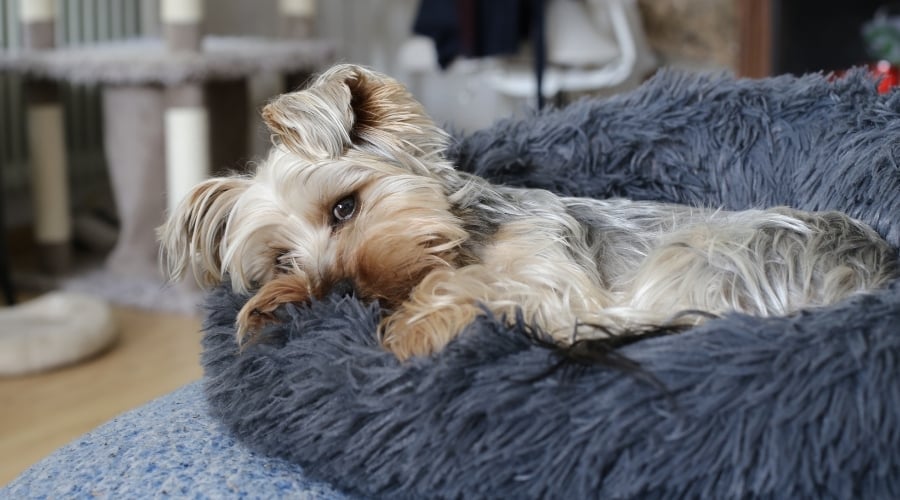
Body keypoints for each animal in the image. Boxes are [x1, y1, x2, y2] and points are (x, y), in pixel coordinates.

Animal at [158, 64, 896, 360]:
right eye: (281, 261)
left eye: (345, 207)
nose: (331, 295)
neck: (466, 235)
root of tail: (877, 270)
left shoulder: (551, 274)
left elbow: (486, 287)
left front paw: (411, 329)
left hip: (702, 259)